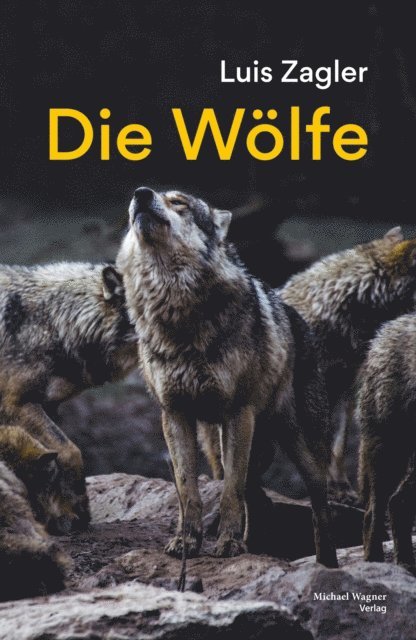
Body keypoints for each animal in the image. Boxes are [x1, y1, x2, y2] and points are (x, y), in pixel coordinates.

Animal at [0, 262, 137, 533]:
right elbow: (70, 451)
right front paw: (76, 511)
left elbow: (54, 459)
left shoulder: (48, 405)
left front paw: (64, 514)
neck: (56, 323)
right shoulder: (16, 404)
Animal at [116, 186, 338, 567]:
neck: (176, 312)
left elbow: (229, 493)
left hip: (301, 451)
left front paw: (228, 545)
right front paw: (187, 542)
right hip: (219, 445)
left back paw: (327, 565)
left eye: (179, 202)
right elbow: (188, 489)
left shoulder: (238, 413)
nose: (141, 194)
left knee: (318, 510)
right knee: (257, 499)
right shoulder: (174, 414)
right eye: (143, 197)